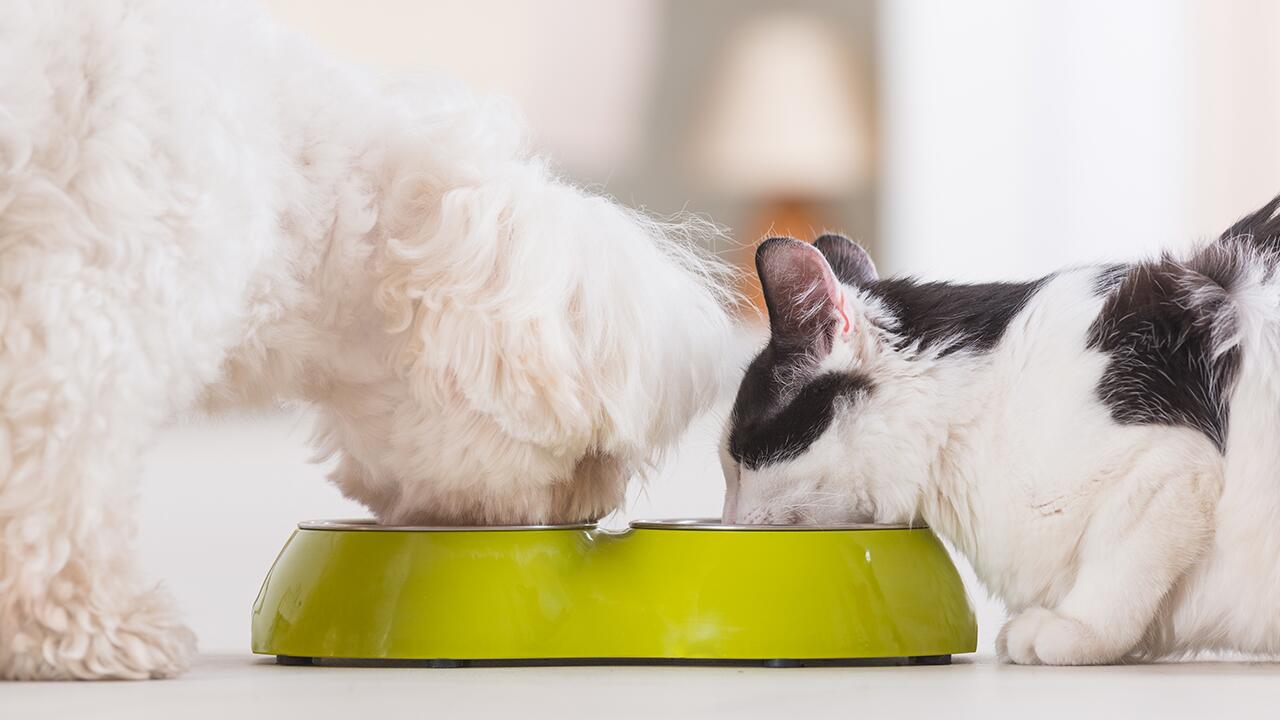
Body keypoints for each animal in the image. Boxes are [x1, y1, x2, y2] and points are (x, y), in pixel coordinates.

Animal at [0, 0, 732, 676]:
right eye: (592, 455)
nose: (594, 506)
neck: (296, 188)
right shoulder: (83, 310)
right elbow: (61, 485)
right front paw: (89, 629)